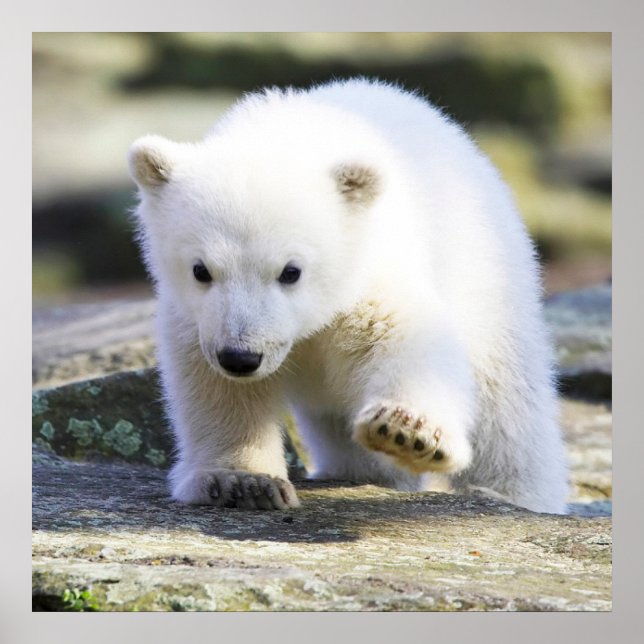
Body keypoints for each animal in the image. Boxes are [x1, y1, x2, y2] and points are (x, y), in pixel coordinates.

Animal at [128, 78, 569, 514]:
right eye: (201, 270)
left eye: (291, 271)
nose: (240, 357)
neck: (287, 135)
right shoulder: (197, 319)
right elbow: (217, 388)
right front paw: (244, 481)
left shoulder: (368, 272)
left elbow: (406, 337)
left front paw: (406, 431)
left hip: (487, 274)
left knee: (507, 404)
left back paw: (511, 493)